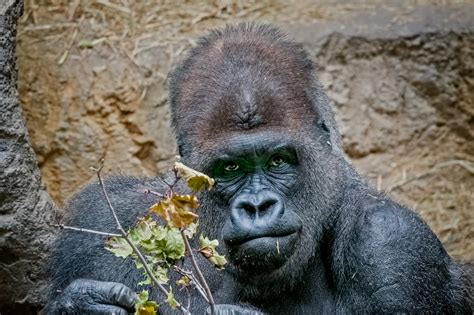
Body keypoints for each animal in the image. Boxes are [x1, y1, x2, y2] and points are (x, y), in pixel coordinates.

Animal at [45, 23, 470, 314]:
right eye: (230, 168)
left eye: (278, 161)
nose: (257, 206)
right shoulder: (105, 223)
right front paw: (80, 305)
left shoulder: (392, 244)